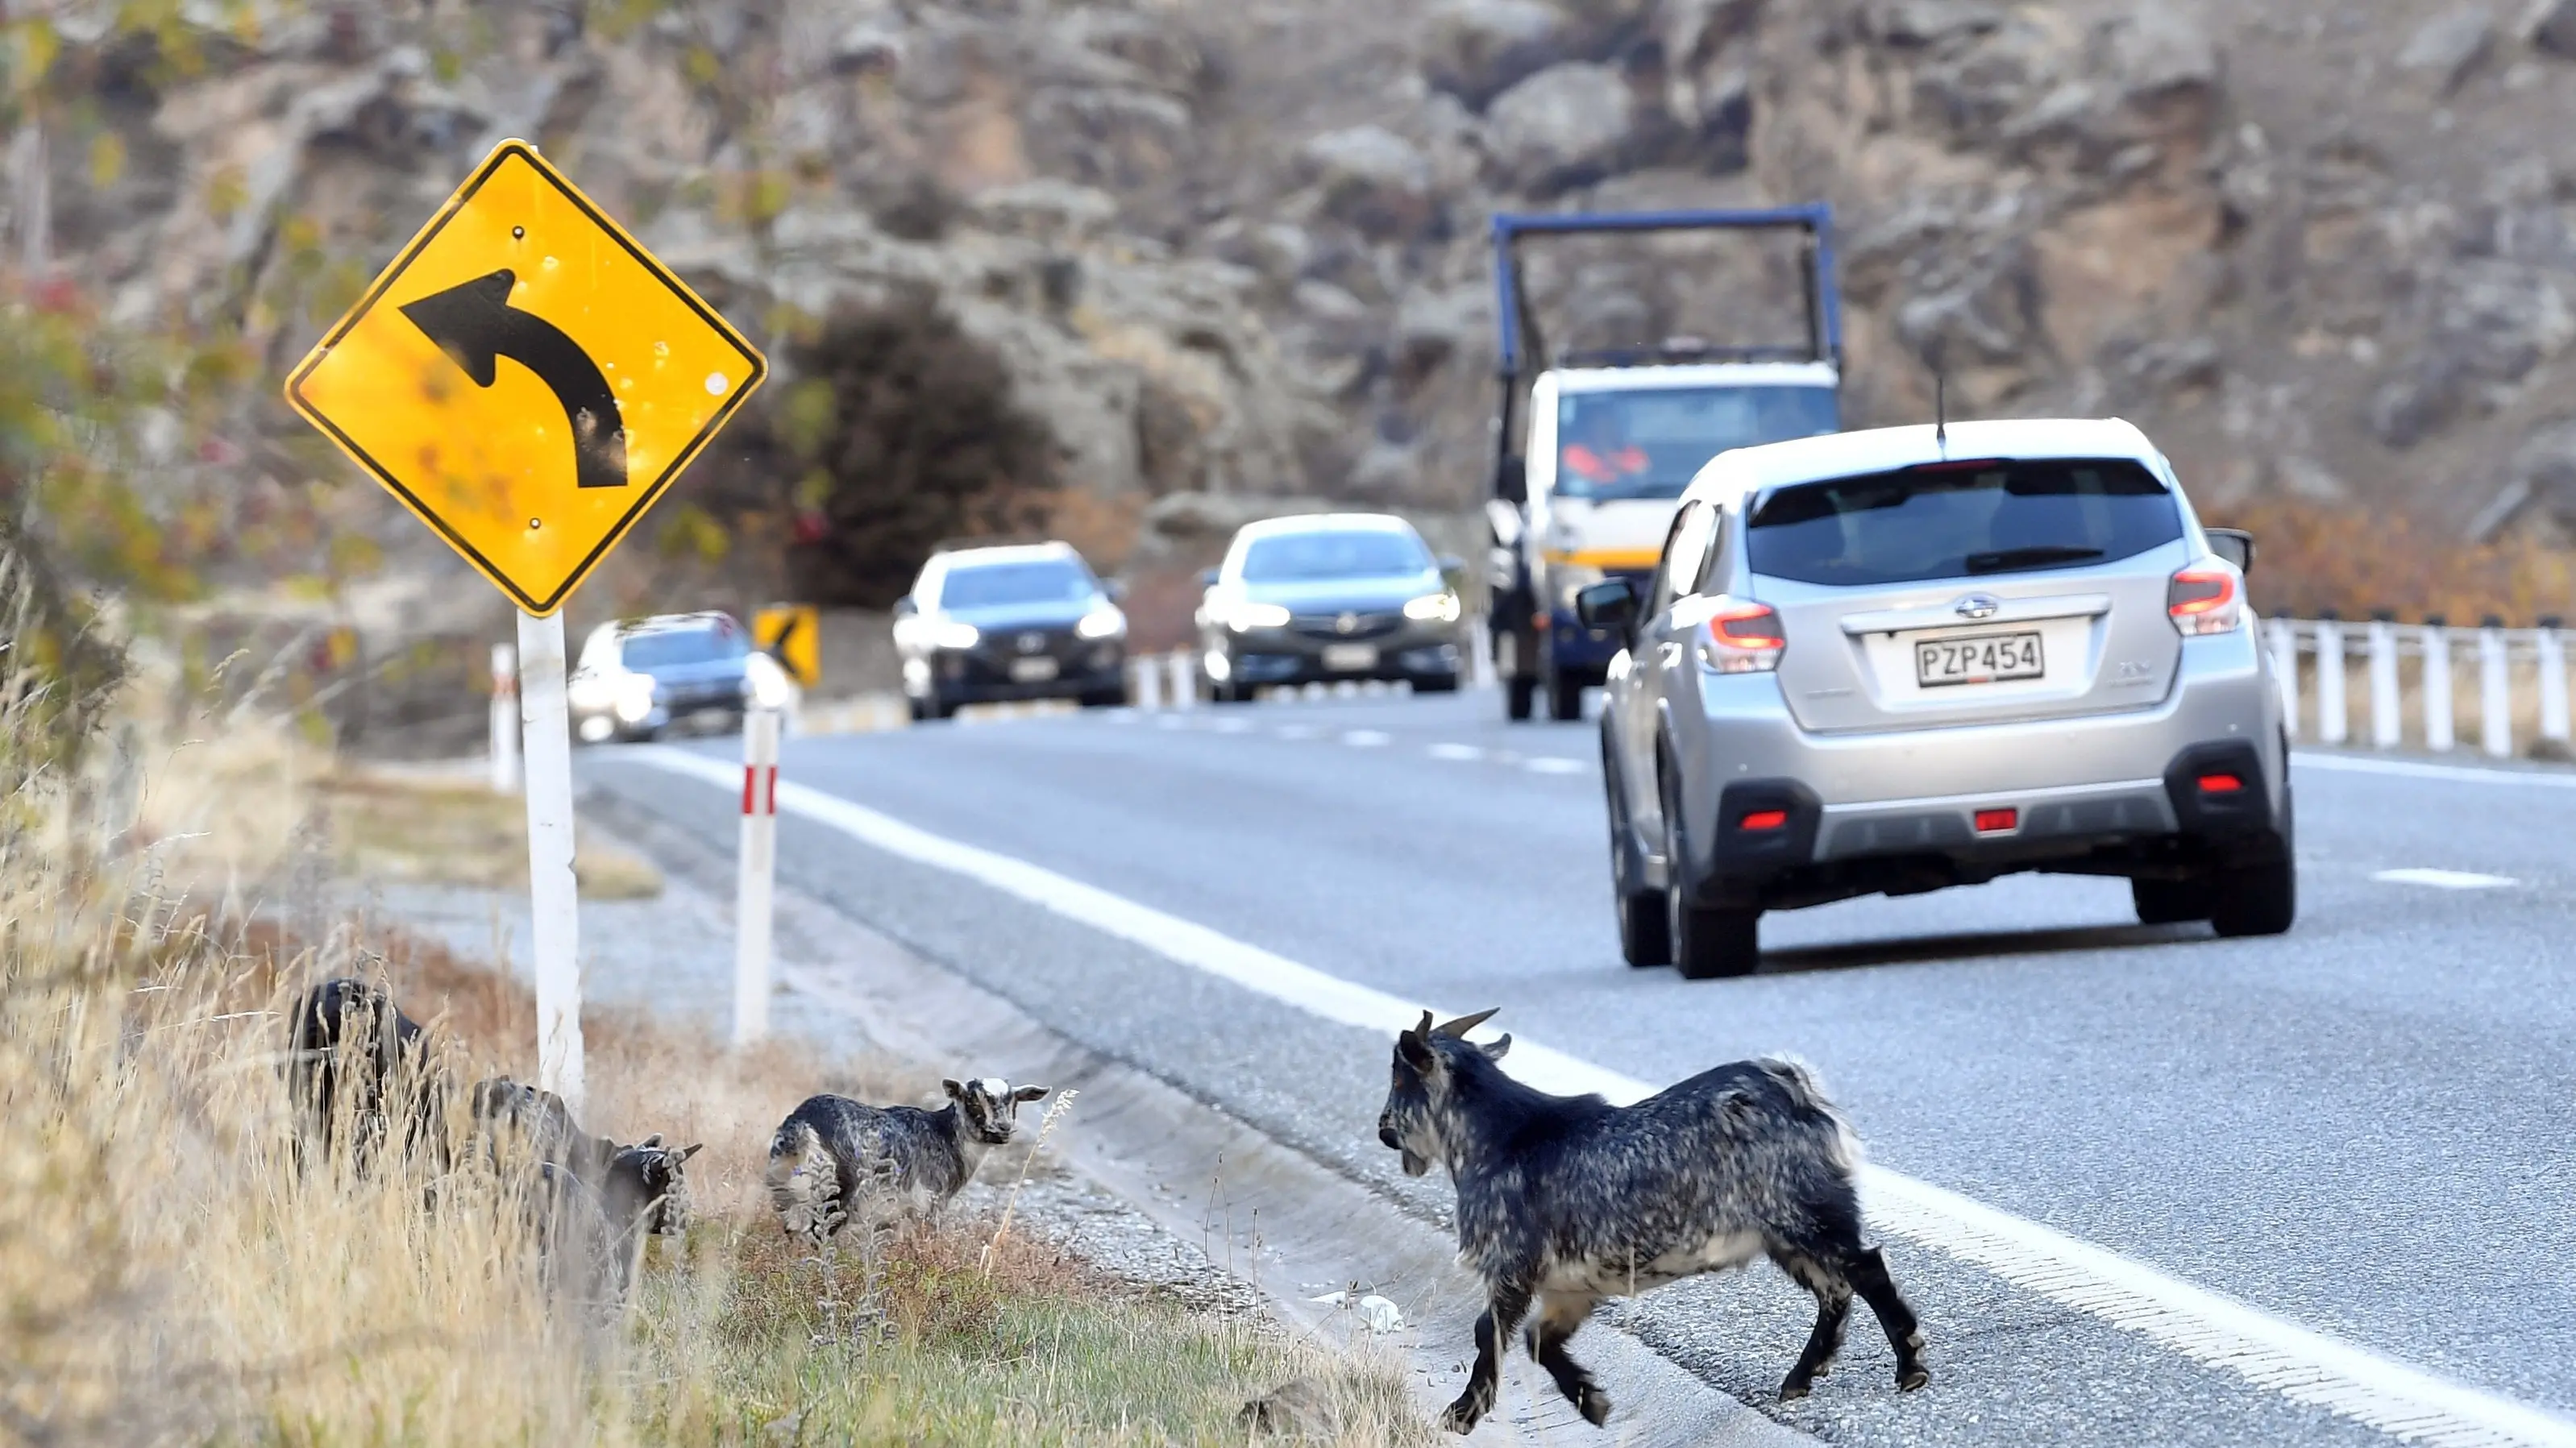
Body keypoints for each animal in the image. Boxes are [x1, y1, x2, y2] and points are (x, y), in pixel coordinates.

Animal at [766, 1077, 1049, 1245]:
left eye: (1014, 1101)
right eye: (973, 1101)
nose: (1003, 1129)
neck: (944, 1134)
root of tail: (801, 1127)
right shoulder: (928, 1205)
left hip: (788, 1192)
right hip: (837, 1194)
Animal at [1375, 1009, 1928, 1435]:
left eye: (1399, 1078)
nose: (1382, 1129)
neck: (1502, 1139)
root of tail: (1794, 1086)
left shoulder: (1510, 1266)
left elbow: (1487, 1332)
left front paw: (1461, 1414)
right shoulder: (1572, 1287)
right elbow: (1539, 1340)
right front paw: (1593, 1404)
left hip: (1806, 1214)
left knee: (1864, 1268)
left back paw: (1910, 1369)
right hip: (1785, 1235)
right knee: (1835, 1289)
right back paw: (1799, 1380)